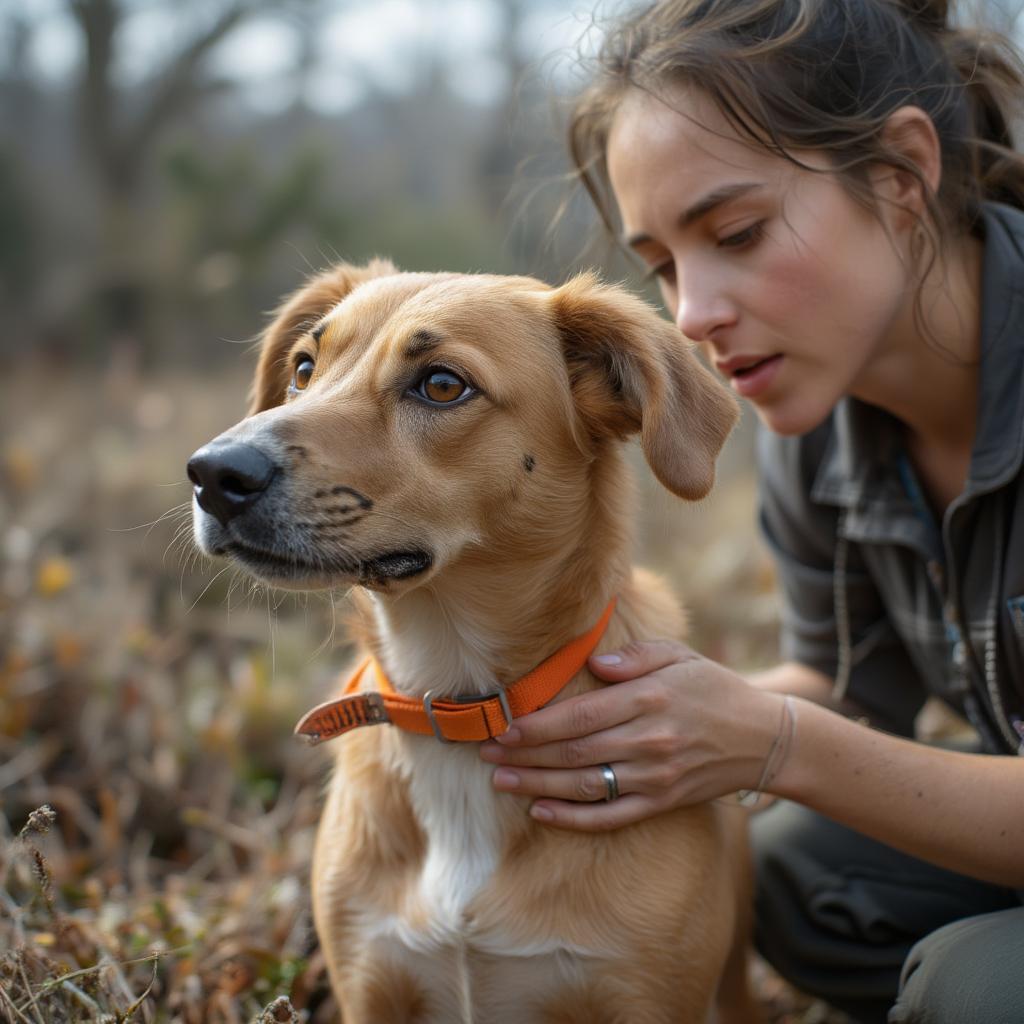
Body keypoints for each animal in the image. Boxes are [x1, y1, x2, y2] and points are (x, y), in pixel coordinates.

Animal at [188, 260, 757, 1019]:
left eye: (442, 385)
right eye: (305, 368)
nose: (214, 473)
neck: (454, 700)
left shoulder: (645, 997)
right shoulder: (370, 983)